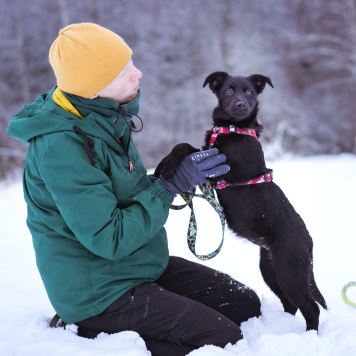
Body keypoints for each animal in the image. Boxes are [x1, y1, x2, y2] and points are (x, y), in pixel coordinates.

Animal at [156, 72, 328, 330]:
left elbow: (186, 148)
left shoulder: (218, 168)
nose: (240, 105)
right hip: (270, 269)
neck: (233, 128)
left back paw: (309, 335)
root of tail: (308, 240)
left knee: (311, 307)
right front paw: (161, 166)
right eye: (229, 90)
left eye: (248, 92)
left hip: (290, 270)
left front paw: (167, 165)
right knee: (291, 304)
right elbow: (185, 146)